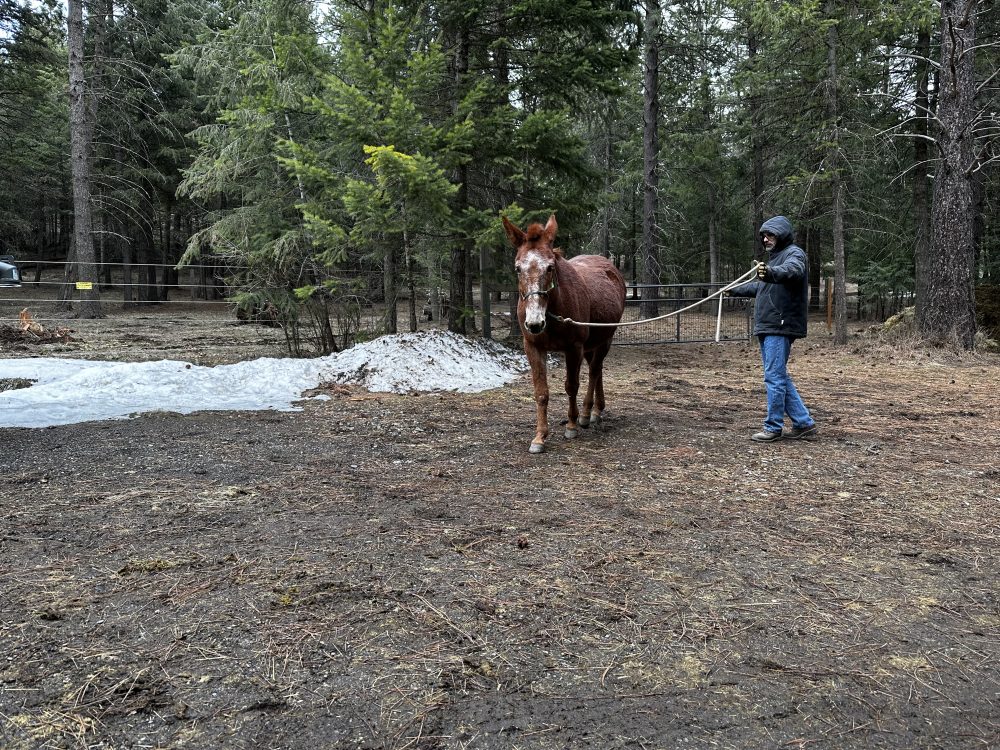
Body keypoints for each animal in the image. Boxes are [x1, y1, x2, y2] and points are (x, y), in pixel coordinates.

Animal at [500, 214, 624, 456]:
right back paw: (596, 410)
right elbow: (541, 392)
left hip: (604, 340)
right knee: (597, 370)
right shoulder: (533, 346)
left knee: (594, 371)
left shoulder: (573, 347)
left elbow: (571, 386)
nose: (535, 323)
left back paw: (588, 414)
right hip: (591, 345)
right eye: (518, 268)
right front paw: (539, 437)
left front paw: (572, 425)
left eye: (550, 267)